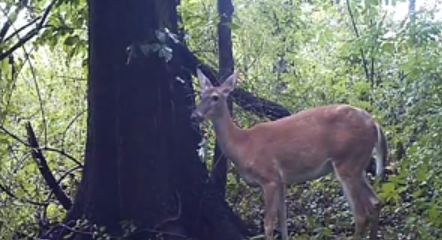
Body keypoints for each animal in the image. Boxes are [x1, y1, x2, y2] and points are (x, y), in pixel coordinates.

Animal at [192, 70, 388, 240]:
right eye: (200, 95)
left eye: (215, 97)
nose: (194, 115)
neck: (243, 145)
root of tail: (374, 123)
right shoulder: (282, 182)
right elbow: (283, 222)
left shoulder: (269, 178)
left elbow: (269, 224)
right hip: (358, 164)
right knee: (376, 202)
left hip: (347, 161)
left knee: (361, 214)